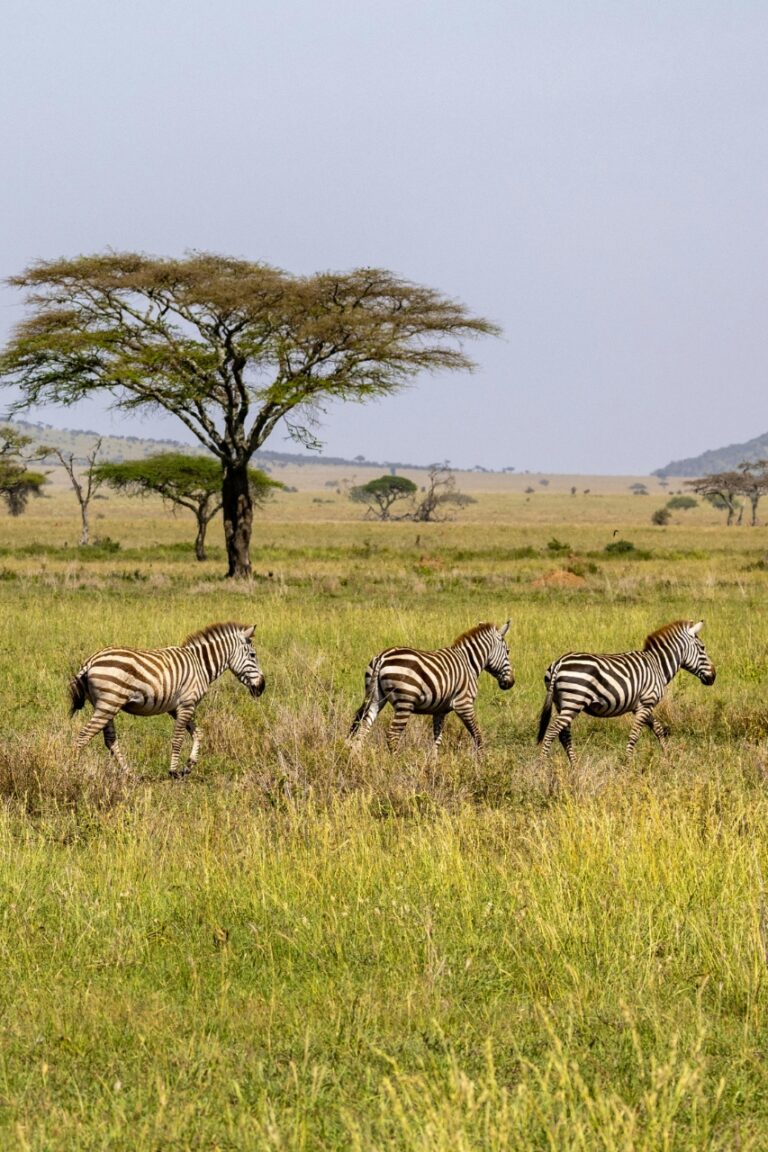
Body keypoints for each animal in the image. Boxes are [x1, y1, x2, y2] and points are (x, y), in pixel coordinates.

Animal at [69, 621, 265, 777]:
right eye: (253, 655)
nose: (262, 687)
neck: (200, 665)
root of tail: (91, 661)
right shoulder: (187, 703)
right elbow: (178, 738)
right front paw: (173, 771)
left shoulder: (177, 707)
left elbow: (198, 733)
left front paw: (189, 766)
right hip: (108, 704)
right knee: (83, 736)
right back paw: (74, 772)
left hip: (105, 705)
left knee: (110, 740)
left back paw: (130, 774)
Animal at [349, 621, 514, 752]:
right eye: (508, 651)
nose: (511, 683)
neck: (469, 664)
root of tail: (382, 657)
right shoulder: (464, 704)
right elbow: (477, 735)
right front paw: (481, 763)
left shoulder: (440, 710)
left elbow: (437, 740)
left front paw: (432, 765)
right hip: (405, 702)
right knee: (392, 735)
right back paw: (396, 762)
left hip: (376, 698)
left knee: (363, 729)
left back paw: (356, 761)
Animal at [537, 619, 716, 764]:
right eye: (702, 648)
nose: (713, 676)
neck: (657, 665)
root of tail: (559, 662)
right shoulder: (646, 703)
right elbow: (635, 734)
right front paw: (628, 763)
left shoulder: (641, 706)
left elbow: (658, 729)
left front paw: (668, 758)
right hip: (574, 701)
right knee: (552, 731)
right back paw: (543, 765)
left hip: (562, 703)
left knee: (564, 734)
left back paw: (574, 766)